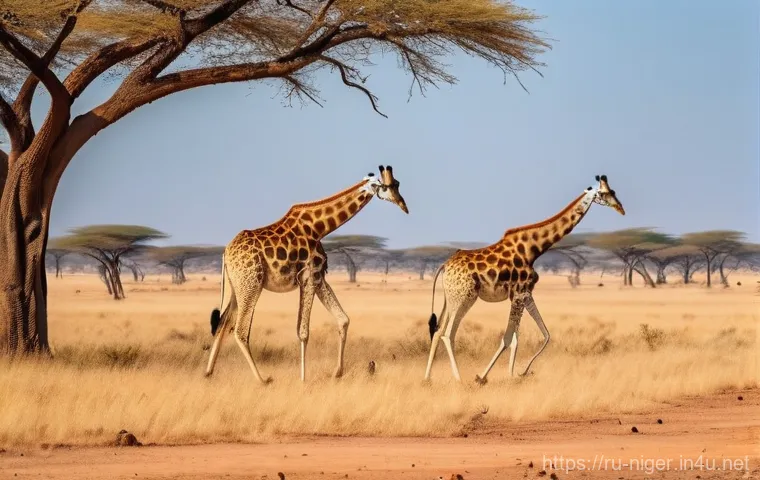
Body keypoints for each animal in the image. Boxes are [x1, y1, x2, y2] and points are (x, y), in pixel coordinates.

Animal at [204, 166, 408, 383]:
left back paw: (208, 373)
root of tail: (226, 253)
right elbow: (303, 332)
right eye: (389, 186)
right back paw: (263, 380)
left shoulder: (319, 277)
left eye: (397, 183)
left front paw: (337, 373)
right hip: (251, 283)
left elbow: (343, 319)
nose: (404, 205)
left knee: (222, 324)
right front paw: (303, 379)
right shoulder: (309, 276)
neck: (319, 228)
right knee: (240, 331)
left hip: (236, 286)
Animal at [423, 175, 625, 383]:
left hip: (451, 298)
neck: (533, 250)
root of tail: (445, 265)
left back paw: (427, 378)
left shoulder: (524, 294)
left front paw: (517, 373)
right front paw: (483, 377)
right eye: (605, 193)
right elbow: (508, 338)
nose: (621, 208)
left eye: (613, 191)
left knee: (438, 331)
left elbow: (539, 335)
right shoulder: (519, 293)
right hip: (465, 297)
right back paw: (459, 379)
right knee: (448, 334)